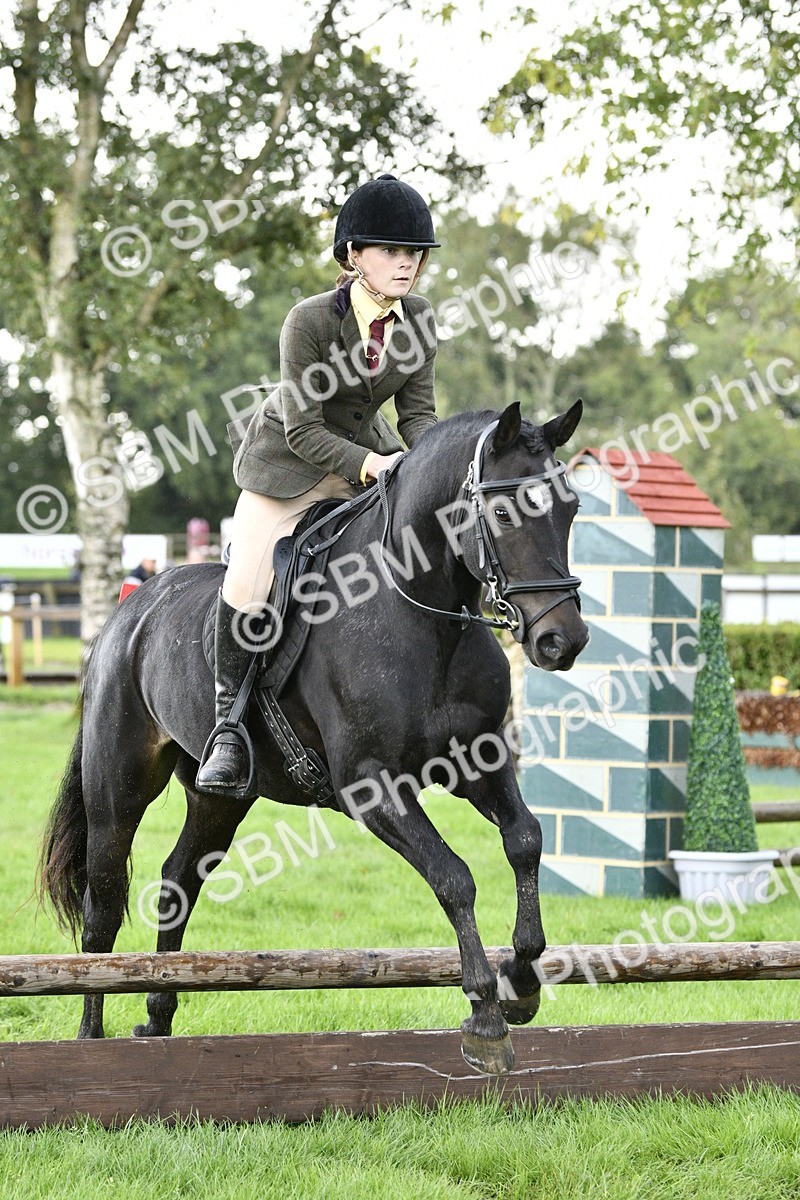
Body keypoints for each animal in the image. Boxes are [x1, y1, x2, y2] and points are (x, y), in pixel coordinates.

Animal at [39, 399, 589, 1075]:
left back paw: (159, 1017)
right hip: (117, 788)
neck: (420, 613)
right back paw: (90, 1038)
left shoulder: (480, 764)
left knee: (178, 881)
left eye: (570, 509)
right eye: (506, 512)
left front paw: (524, 981)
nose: (563, 641)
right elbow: (454, 875)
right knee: (103, 905)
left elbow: (525, 841)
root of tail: (129, 607)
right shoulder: (373, 786)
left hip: (220, 797)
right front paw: (486, 1015)